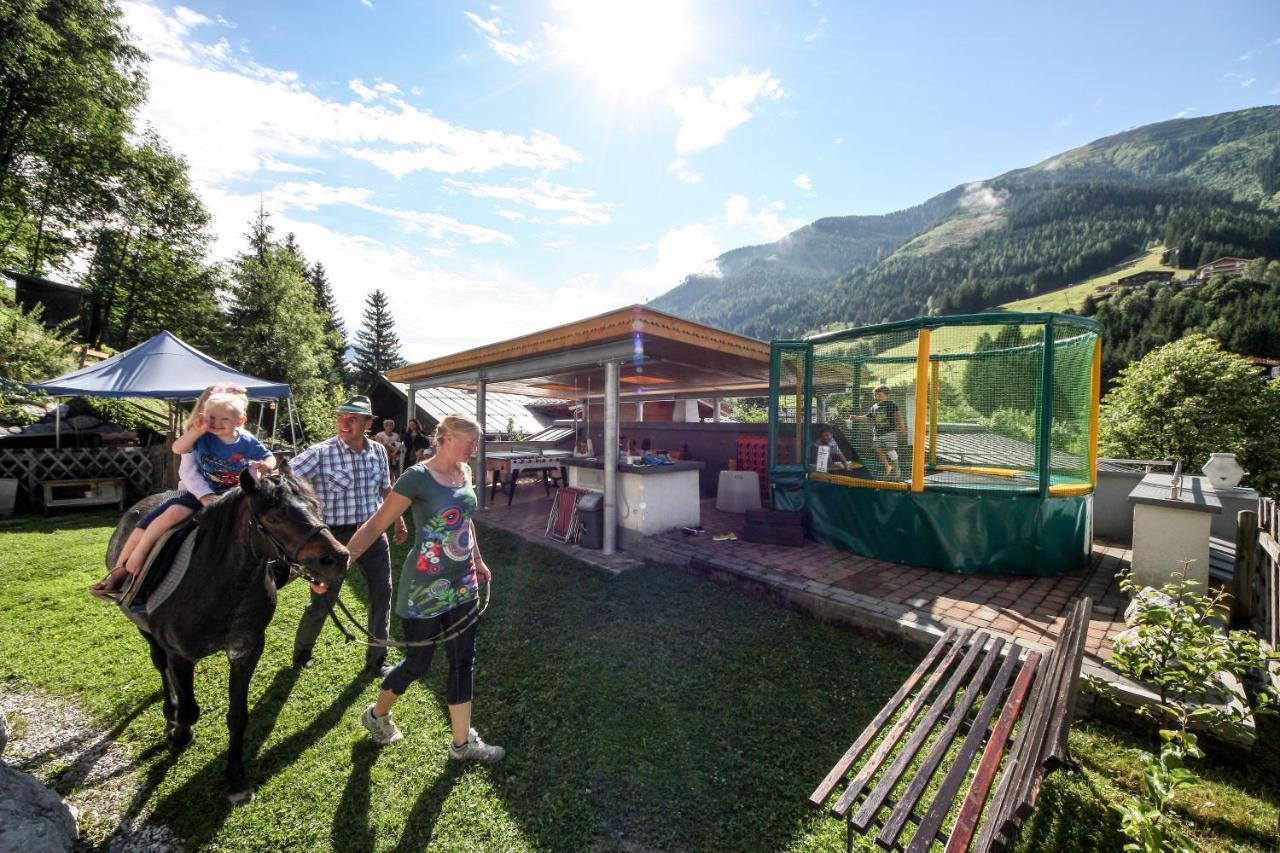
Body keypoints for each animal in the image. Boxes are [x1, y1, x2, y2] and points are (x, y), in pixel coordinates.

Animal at [107, 458, 348, 799]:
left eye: (316, 505)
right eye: (275, 516)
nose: (337, 557)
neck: (217, 585)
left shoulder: (246, 650)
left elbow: (238, 716)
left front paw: (235, 776)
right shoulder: (181, 656)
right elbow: (189, 709)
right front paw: (179, 733)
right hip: (146, 631)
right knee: (159, 664)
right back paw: (170, 713)